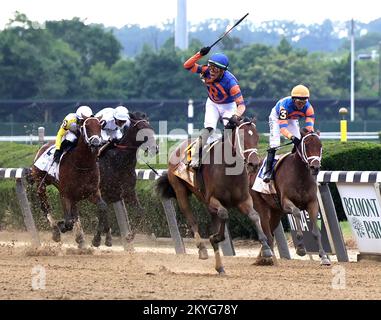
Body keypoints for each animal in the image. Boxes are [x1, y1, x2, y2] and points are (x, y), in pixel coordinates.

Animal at [30, 115, 105, 248]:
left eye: (100, 126)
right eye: (86, 126)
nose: (96, 144)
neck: (82, 165)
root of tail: (42, 147)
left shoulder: (92, 193)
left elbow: (102, 208)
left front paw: (96, 240)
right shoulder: (66, 195)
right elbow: (69, 221)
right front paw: (62, 226)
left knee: (74, 213)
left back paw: (80, 238)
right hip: (41, 182)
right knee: (45, 205)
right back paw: (56, 231)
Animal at [97, 111, 158, 246]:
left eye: (151, 128)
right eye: (140, 128)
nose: (154, 148)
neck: (119, 161)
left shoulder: (128, 192)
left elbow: (140, 211)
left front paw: (130, 236)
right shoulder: (105, 192)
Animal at [156, 117, 272, 276]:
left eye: (257, 137)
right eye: (242, 138)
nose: (254, 164)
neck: (229, 171)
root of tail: (178, 147)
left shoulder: (244, 200)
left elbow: (254, 216)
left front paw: (266, 248)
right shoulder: (211, 200)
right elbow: (223, 214)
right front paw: (215, 237)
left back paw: (220, 267)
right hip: (180, 191)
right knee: (191, 219)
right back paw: (202, 249)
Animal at [249, 127, 330, 264]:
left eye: (320, 146)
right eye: (306, 145)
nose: (315, 167)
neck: (300, 175)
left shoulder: (312, 203)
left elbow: (316, 231)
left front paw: (324, 256)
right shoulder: (286, 202)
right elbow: (296, 212)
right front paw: (301, 248)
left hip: (276, 211)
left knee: (271, 230)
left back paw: (263, 257)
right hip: (261, 204)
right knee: (267, 230)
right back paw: (267, 257)